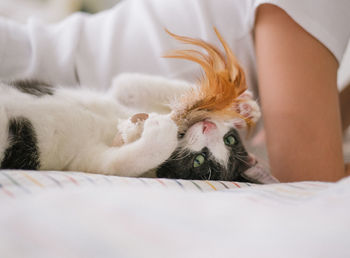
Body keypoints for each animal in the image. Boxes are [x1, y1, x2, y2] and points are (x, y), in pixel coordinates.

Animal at [0, 72, 272, 181]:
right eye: (231, 139)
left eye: (199, 162)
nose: (208, 127)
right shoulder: (122, 96)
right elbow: (130, 84)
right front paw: (241, 107)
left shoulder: (87, 161)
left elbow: (118, 164)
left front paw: (161, 128)